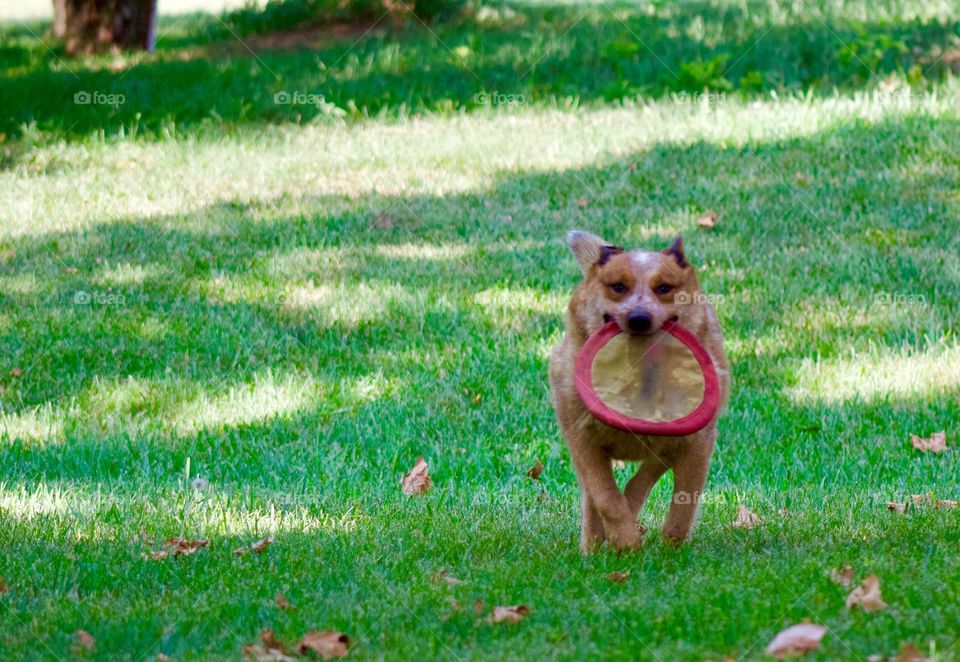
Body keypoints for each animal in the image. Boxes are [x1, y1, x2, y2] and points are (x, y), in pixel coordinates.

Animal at [548, 231, 728, 552]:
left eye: (664, 288)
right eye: (618, 287)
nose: (639, 318)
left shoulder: (696, 442)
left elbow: (683, 500)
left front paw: (672, 549)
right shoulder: (581, 437)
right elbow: (605, 496)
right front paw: (625, 541)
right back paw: (594, 545)